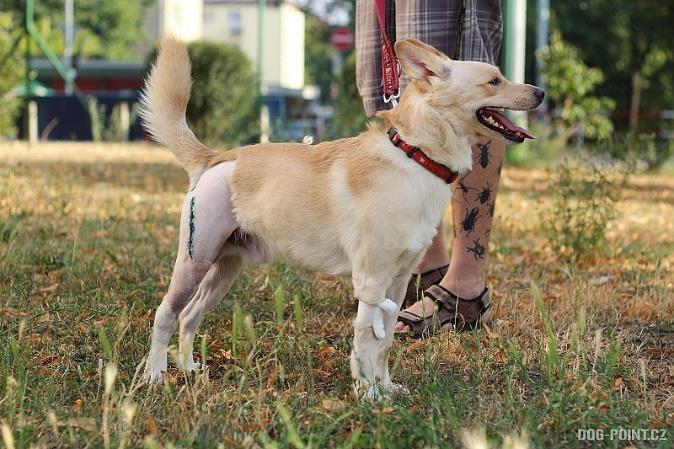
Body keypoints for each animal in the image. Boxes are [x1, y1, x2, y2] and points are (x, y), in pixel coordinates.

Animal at [140, 36, 540, 398]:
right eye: (494, 80)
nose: (541, 93)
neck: (415, 156)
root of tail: (213, 158)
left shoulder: (397, 284)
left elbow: (385, 343)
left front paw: (386, 388)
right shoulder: (371, 283)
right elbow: (366, 341)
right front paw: (368, 395)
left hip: (225, 271)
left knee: (190, 316)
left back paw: (188, 368)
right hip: (194, 262)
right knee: (166, 313)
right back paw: (156, 374)